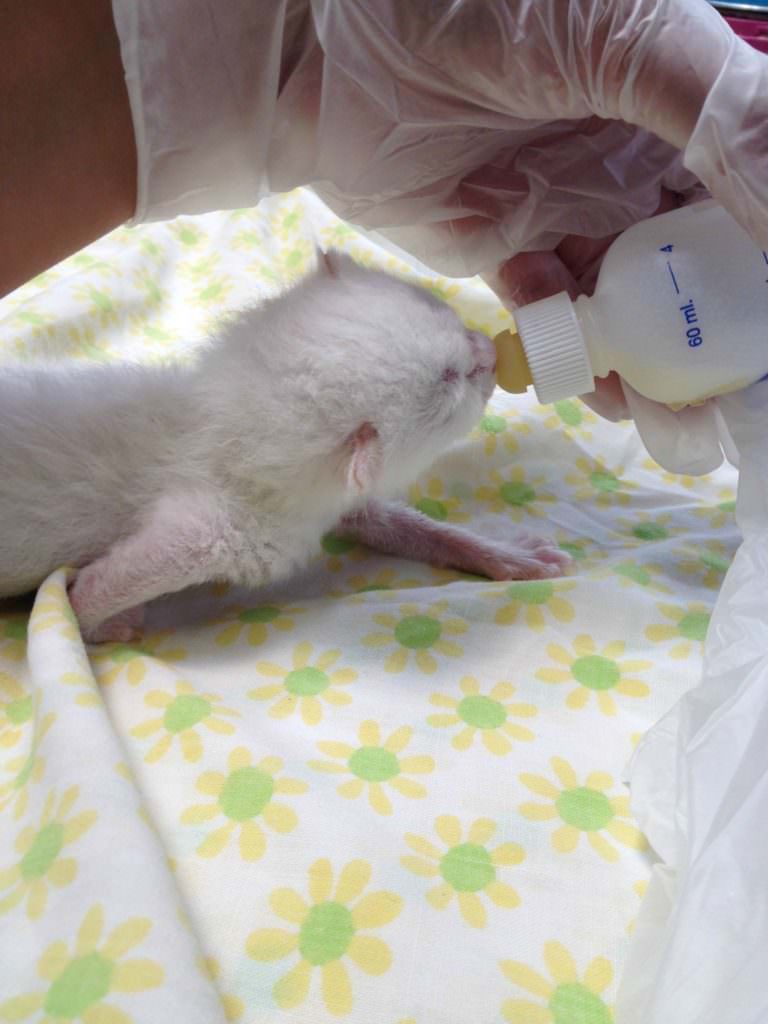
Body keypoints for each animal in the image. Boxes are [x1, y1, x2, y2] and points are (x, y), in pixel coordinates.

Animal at [0, 251, 565, 638]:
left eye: (442, 311)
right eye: (451, 380)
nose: (490, 348)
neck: (215, 422)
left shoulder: (317, 500)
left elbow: (394, 522)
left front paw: (504, 555)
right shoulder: (221, 524)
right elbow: (94, 586)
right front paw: (95, 621)